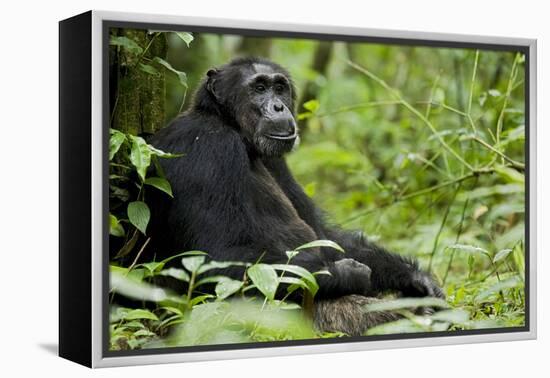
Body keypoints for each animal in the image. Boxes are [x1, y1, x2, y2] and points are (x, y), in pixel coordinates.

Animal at [149, 56, 446, 336]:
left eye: (279, 88)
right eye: (259, 88)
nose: (278, 107)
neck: (234, 129)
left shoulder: (277, 161)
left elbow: (325, 235)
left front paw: (417, 278)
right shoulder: (207, 149)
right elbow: (217, 256)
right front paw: (346, 272)